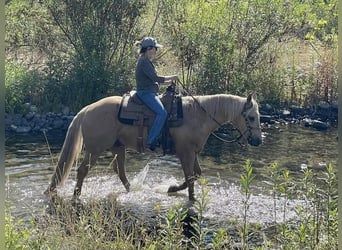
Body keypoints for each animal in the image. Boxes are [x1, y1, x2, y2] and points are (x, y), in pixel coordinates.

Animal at [44, 92, 262, 201]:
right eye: (251, 117)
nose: (258, 141)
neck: (197, 116)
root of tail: (87, 109)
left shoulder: (193, 152)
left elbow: (196, 175)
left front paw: (174, 189)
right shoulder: (185, 153)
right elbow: (190, 177)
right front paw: (185, 195)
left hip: (118, 147)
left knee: (119, 170)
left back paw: (132, 191)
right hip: (95, 150)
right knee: (83, 170)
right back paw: (76, 195)